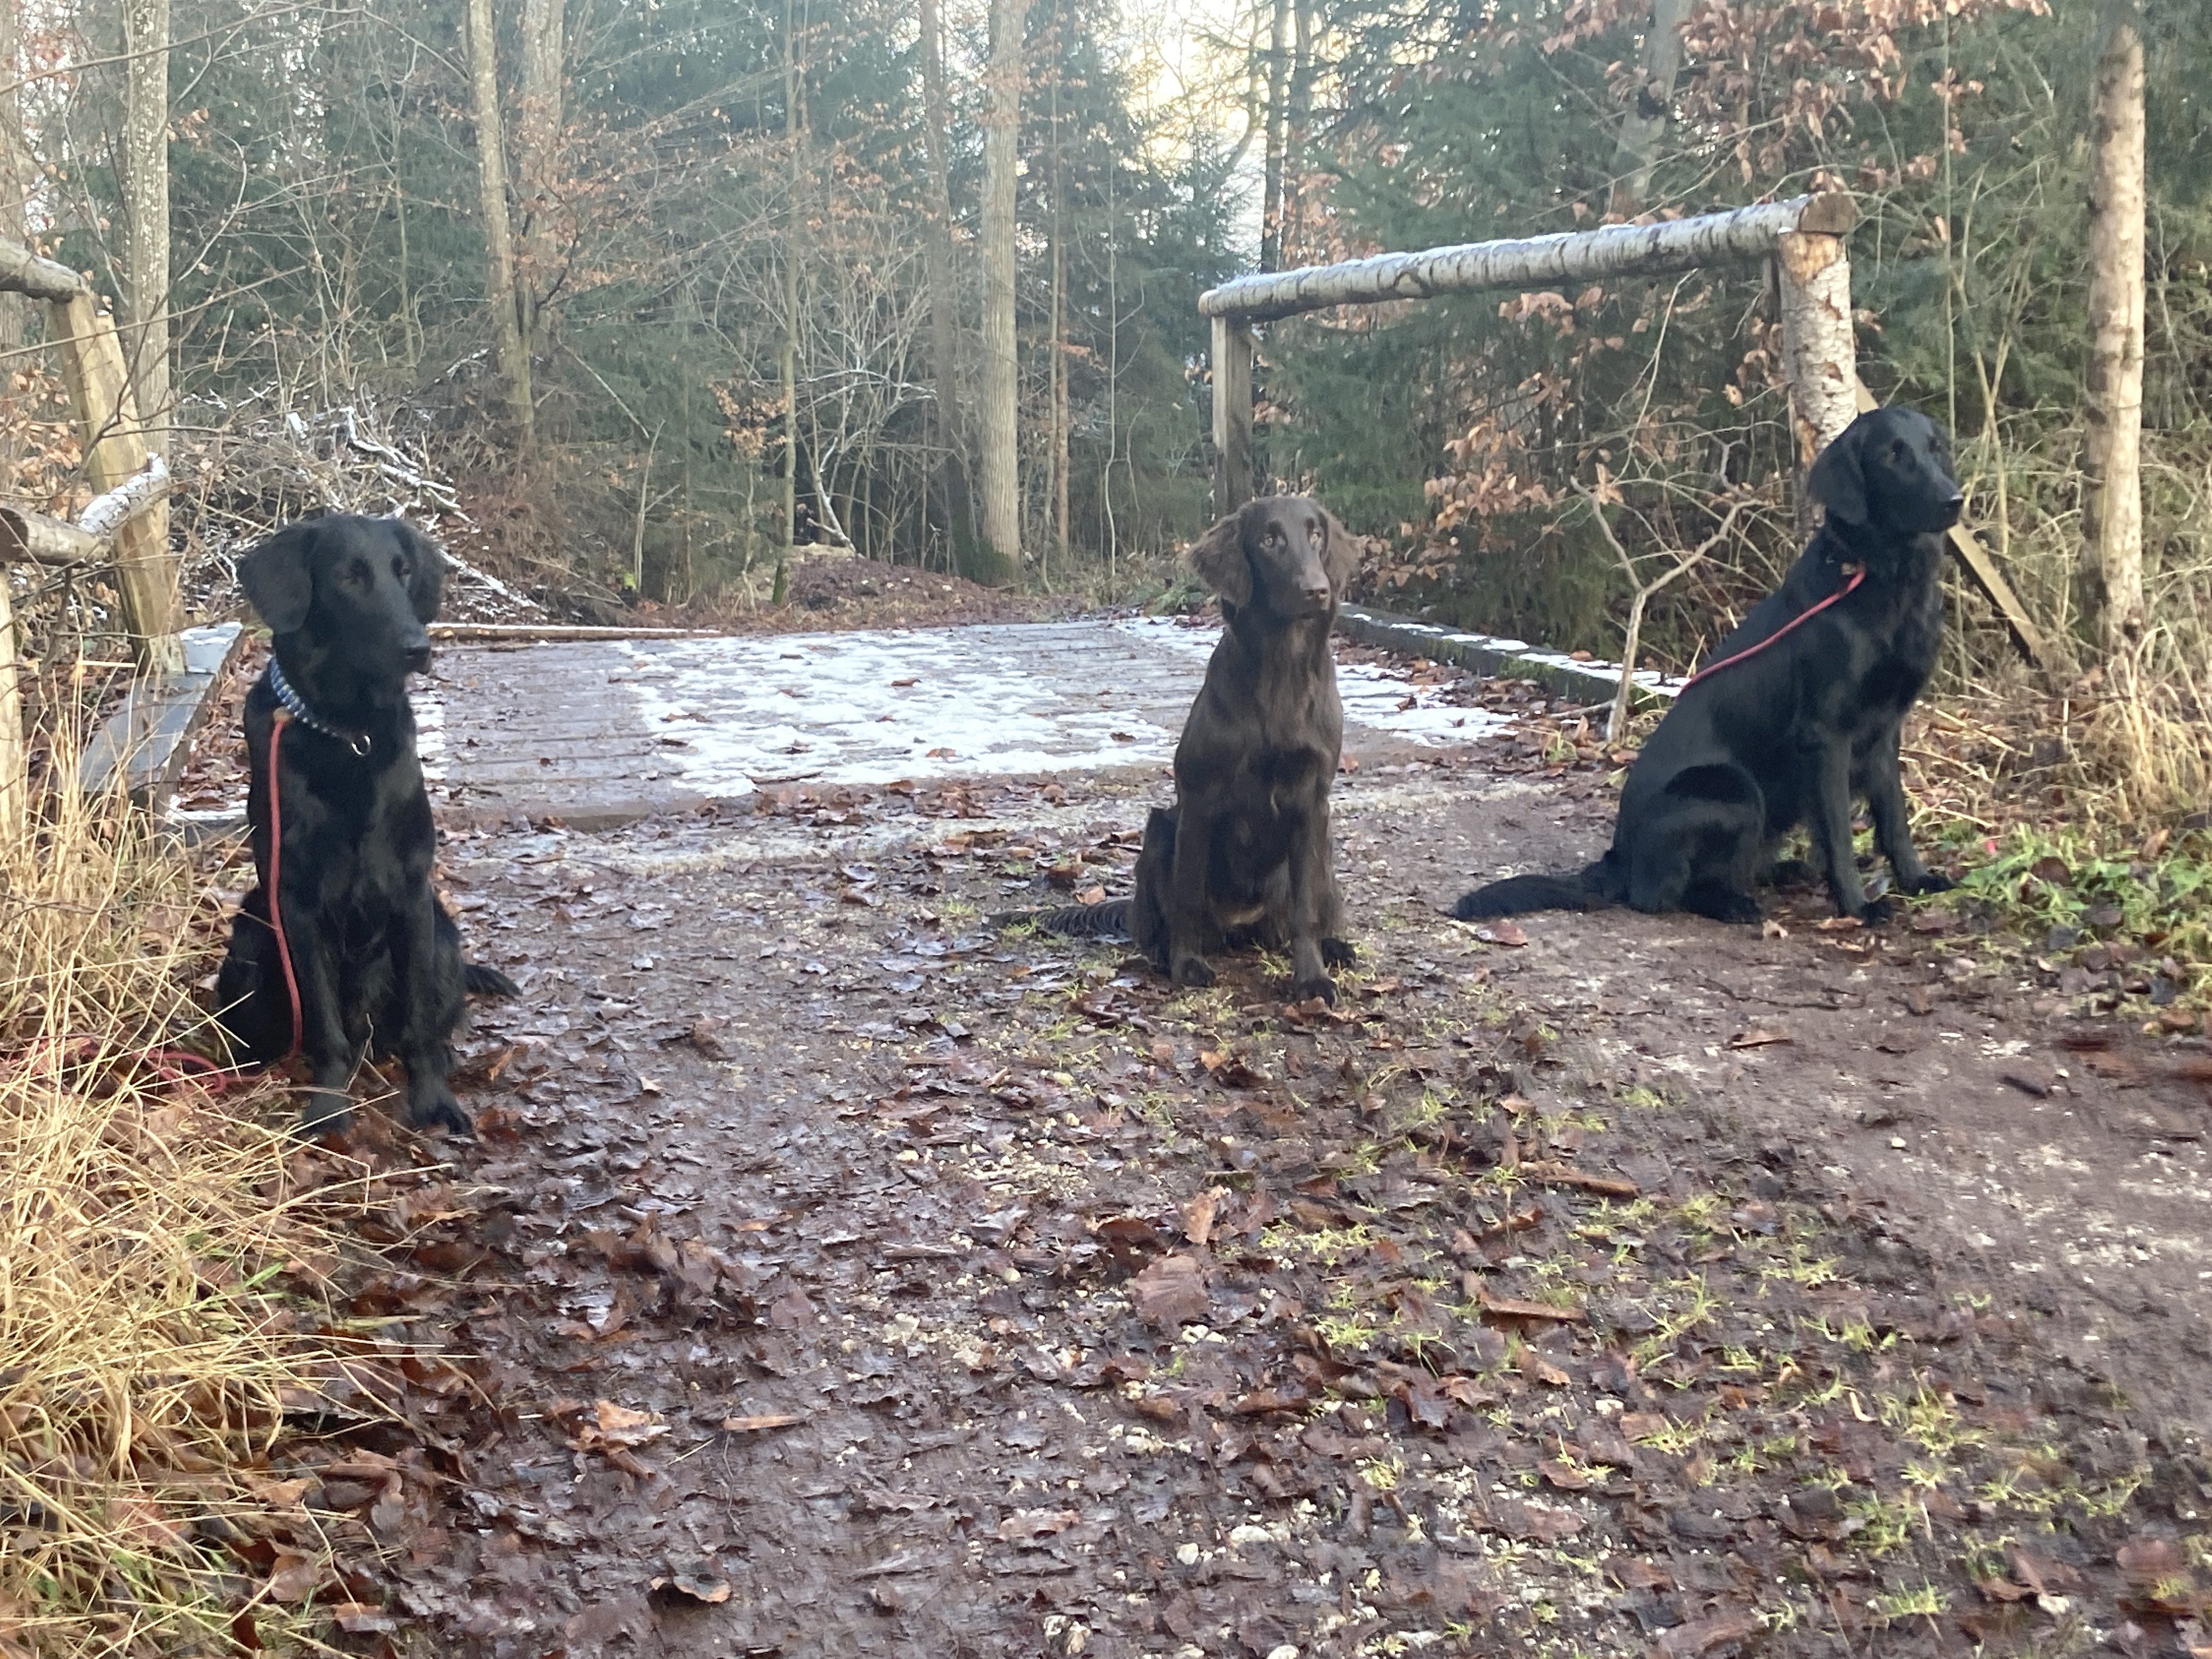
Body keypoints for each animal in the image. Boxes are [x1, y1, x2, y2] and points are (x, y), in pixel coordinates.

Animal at [214, 514, 518, 1134]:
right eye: (349, 577)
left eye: (403, 572)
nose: (418, 647)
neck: (347, 732)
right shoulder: (296, 902)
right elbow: (323, 1020)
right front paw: (329, 1106)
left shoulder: (411, 894)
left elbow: (420, 1023)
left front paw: (433, 1100)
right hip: (252, 937)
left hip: (443, 934)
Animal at [1023, 495, 1359, 1001]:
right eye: (1269, 539)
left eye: (1315, 533)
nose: (1316, 590)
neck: (1280, 668)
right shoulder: (1200, 798)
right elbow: (1187, 897)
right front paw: (1186, 963)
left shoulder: (1312, 801)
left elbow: (1305, 913)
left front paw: (1311, 978)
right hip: (1160, 830)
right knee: (1162, 920)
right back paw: (1164, 953)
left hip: (1325, 852)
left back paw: (1335, 947)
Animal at [1455, 406, 1963, 926]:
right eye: (1892, 455)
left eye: (1935, 448)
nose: (1955, 501)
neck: (1877, 578)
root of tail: (1619, 859)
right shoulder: (1825, 736)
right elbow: (1839, 833)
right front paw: (1858, 907)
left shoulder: (1885, 729)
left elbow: (1895, 818)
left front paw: (1917, 880)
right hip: (1732, 788)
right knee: (1665, 895)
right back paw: (1736, 904)